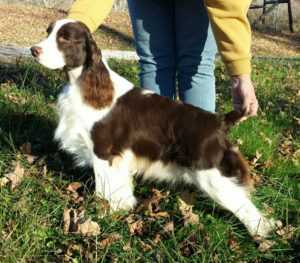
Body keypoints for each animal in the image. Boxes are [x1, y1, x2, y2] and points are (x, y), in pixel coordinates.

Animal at [30, 18, 274, 237]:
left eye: (65, 38)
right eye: (48, 32)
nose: (33, 50)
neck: (85, 84)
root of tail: (219, 120)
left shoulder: (104, 152)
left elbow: (104, 188)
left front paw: (103, 214)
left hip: (210, 173)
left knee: (246, 207)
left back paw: (262, 235)